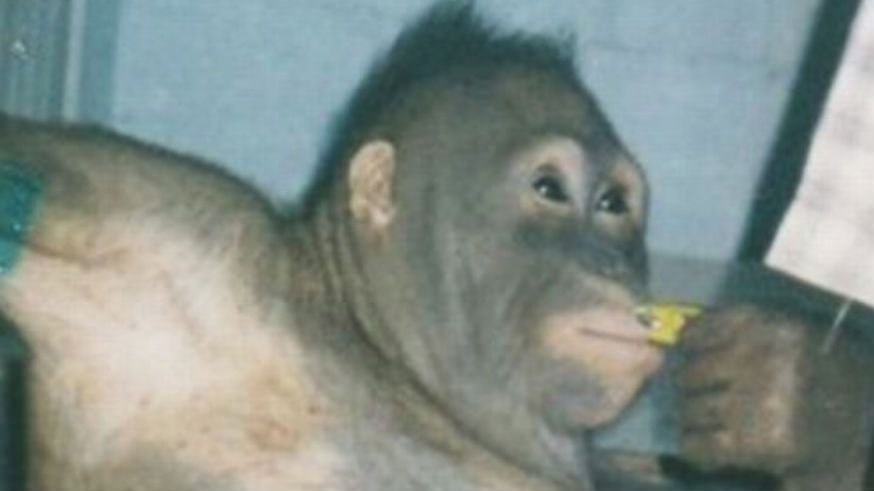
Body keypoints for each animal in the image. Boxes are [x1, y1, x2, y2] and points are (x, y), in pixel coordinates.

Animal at [0, 2, 870, 490]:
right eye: (550, 189)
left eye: (614, 205)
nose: (608, 260)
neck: (388, 361)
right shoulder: (176, 235)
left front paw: (797, 399)